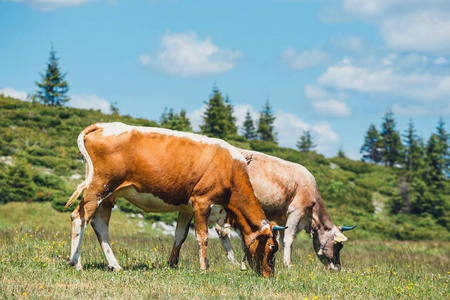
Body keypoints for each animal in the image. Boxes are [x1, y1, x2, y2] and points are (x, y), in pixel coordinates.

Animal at [64, 123, 284, 278]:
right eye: (272, 247)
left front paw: (172, 264)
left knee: (100, 224)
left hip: (109, 194)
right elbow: (202, 237)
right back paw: (76, 263)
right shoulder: (202, 202)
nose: (269, 275)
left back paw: (115, 265)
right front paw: (205, 268)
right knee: (79, 217)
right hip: (98, 186)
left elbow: (180, 235)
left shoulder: (186, 207)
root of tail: (102, 125)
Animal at [213, 150, 356, 270]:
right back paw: (235, 261)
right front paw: (288, 264)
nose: (337, 268)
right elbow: (289, 240)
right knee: (224, 231)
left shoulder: (282, 219)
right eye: (338, 245)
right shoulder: (296, 212)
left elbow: (281, 240)